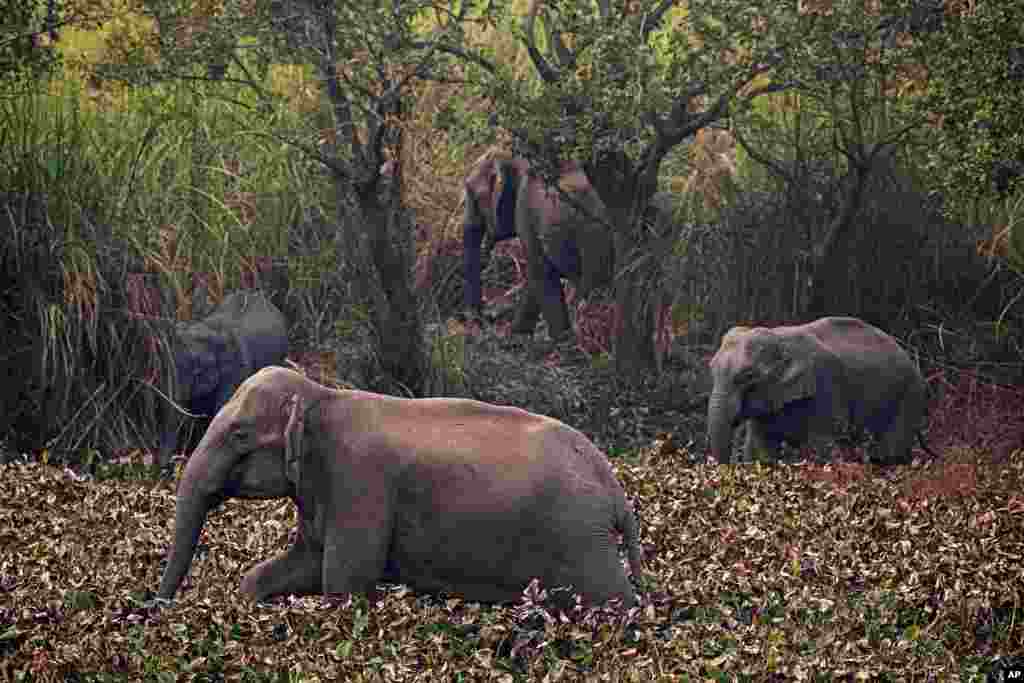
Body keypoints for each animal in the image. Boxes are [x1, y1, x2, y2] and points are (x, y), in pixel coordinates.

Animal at [155, 366, 643, 606]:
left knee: (613, 601)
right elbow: (306, 564)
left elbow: (343, 580)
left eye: (239, 435)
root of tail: (614, 487)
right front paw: (251, 597)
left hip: (580, 536)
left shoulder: (358, 481)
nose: (157, 606)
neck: (322, 395)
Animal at [708, 317, 925, 466]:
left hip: (909, 394)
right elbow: (761, 447)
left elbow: (823, 443)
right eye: (711, 368)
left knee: (890, 451)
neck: (779, 336)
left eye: (748, 376)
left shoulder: (825, 384)